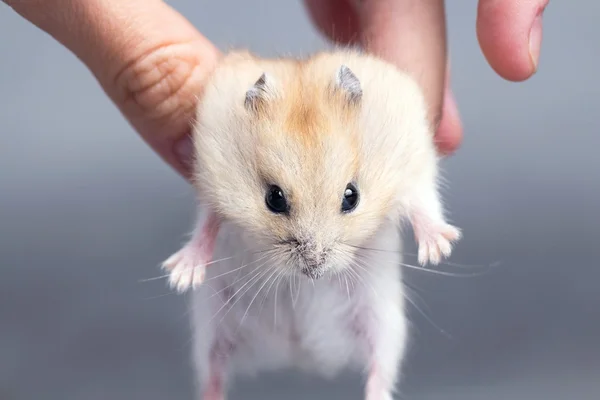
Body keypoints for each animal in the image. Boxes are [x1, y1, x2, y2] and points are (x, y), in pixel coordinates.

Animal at [159, 49, 460, 400]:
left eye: (351, 197)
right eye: (274, 199)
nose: (314, 270)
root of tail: (300, 355)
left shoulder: (413, 161)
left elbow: (422, 203)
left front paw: (439, 251)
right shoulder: (211, 178)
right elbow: (207, 224)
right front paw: (181, 276)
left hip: (384, 324)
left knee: (379, 373)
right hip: (212, 332)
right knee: (213, 376)